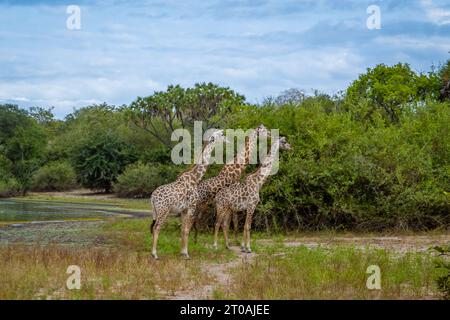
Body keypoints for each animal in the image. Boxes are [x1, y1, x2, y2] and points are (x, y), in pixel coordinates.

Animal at [150, 129, 227, 258]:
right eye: (220, 134)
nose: (227, 139)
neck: (195, 178)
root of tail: (152, 197)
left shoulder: (184, 209)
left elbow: (183, 230)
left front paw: (182, 252)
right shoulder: (192, 206)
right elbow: (187, 230)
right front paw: (186, 254)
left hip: (156, 211)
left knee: (154, 227)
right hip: (163, 211)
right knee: (157, 227)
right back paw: (154, 254)